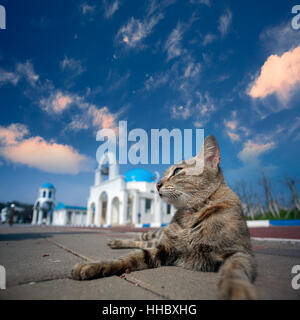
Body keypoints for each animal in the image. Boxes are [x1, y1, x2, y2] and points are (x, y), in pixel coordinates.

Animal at [71, 135, 256, 300]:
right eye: (163, 175)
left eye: (178, 171)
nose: (157, 184)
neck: (191, 213)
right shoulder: (165, 249)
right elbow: (130, 257)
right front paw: (96, 265)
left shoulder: (239, 253)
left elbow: (234, 271)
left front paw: (235, 290)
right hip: (154, 234)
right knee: (139, 239)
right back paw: (116, 242)